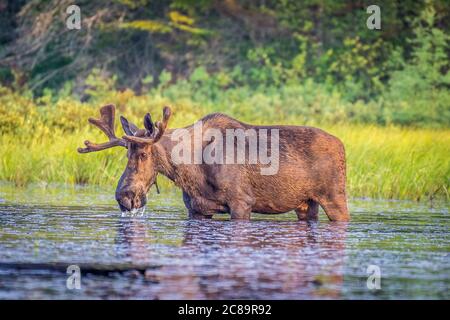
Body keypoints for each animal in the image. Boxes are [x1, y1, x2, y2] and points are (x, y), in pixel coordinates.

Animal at [78, 105, 348, 222]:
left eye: (144, 154)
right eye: (127, 154)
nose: (123, 197)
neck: (190, 170)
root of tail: (342, 146)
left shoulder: (242, 202)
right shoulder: (197, 208)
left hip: (335, 196)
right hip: (306, 203)